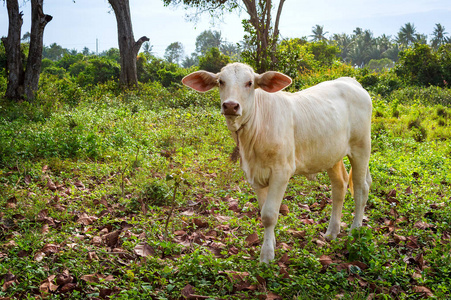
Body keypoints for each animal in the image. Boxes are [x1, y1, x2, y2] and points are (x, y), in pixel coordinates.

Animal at [182, 63, 372, 262]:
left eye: (249, 83)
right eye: (220, 82)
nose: (231, 106)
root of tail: (351, 81)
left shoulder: (281, 172)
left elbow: (269, 214)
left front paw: (266, 255)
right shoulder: (254, 175)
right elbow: (263, 211)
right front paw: (271, 243)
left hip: (361, 147)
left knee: (361, 188)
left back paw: (355, 231)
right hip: (331, 155)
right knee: (340, 186)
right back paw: (332, 232)